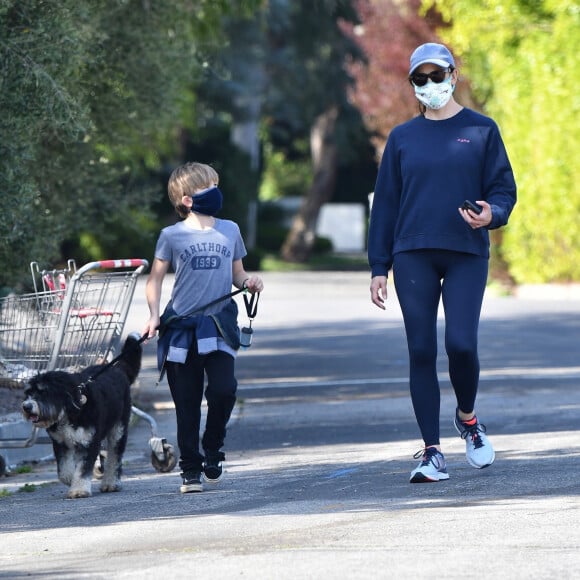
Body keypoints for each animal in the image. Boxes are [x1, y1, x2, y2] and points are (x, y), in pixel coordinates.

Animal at [22, 336, 142, 498]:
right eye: (28, 393)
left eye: (43, 392)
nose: (26, 407)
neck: (69, 410)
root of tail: (117, 369)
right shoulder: (60, 443)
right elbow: (64, 470)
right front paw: (70, 479)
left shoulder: (88, 442)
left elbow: (83, 469)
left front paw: (79, 490)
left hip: (118, 430)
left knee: (114, 458)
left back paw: (111, 483)